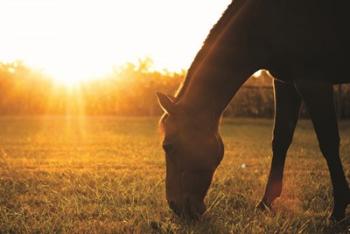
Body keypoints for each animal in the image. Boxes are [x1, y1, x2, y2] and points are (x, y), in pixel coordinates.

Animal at [157, 0, 350, 221]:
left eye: (167, 146)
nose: (175, 206)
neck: (266, 18)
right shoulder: (286, 82)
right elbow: (281, 140)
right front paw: (265, 202)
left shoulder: (312, 82)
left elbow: (329, 143)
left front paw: (338, 209)